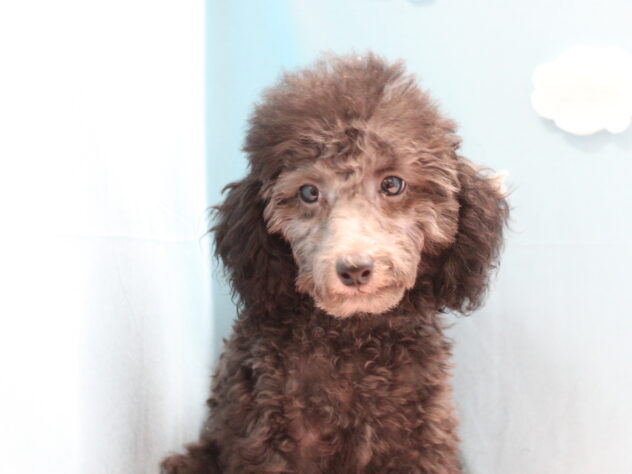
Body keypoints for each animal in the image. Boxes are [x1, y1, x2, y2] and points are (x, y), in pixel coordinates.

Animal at [162, 53, 509, 474]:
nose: (354, 269)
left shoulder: (422, 440)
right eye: (309, 192)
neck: (354, 337)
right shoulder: (270, 438)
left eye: (392, 184)